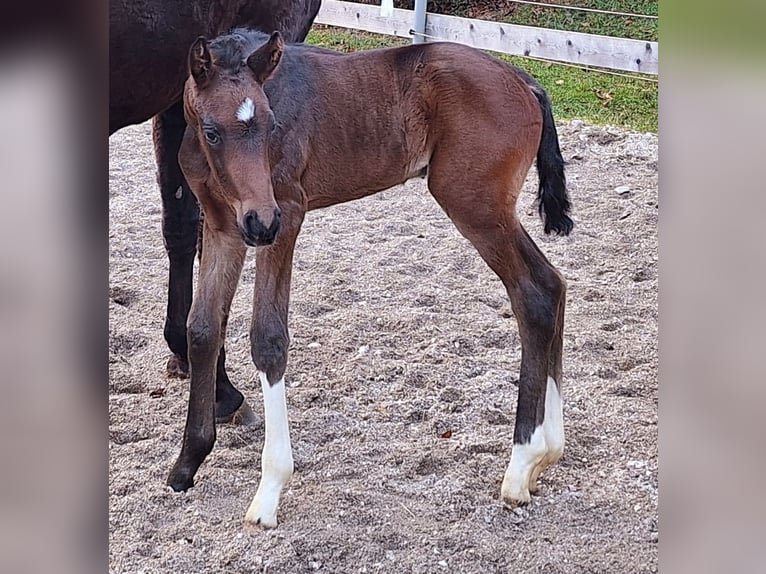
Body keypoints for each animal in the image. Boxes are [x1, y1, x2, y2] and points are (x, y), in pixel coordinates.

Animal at [170, 29, 576, 528]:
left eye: (270, 126)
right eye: (212, 131)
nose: (262, 223)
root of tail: (525, 80)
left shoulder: (287, 214)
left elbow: (268, 339)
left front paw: (268, 491)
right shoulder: (224, 225)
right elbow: (203, 329)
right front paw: (186, 464)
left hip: (475, 205)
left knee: (532, 294)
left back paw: (520, 466)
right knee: (551, 287)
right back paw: (545, 456)